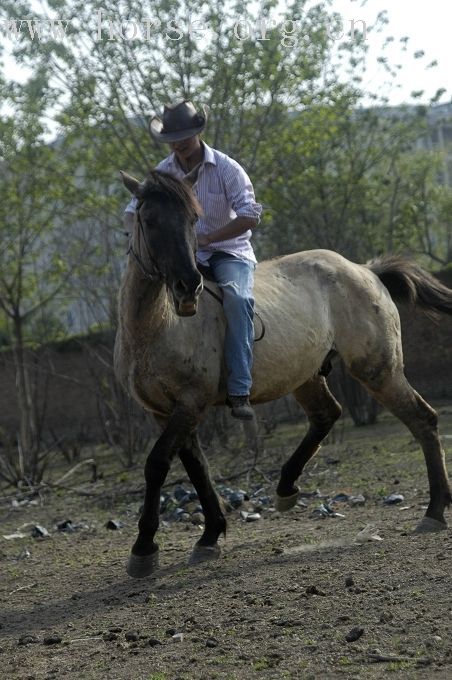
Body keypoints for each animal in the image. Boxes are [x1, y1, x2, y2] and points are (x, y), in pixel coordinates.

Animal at [115, 167, 452, 576]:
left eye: (193, 219)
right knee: (327, 415)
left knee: (423, 420)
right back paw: (286, 488)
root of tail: (365, 270)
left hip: (378, 370)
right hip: (306, 376)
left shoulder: (190, 403)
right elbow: (196, 467)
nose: (188, 286)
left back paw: (434, 511)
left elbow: (157, 463)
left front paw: (143, 549)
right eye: (148, 219)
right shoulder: (164, 411)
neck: (157, 328)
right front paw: (210, 536)